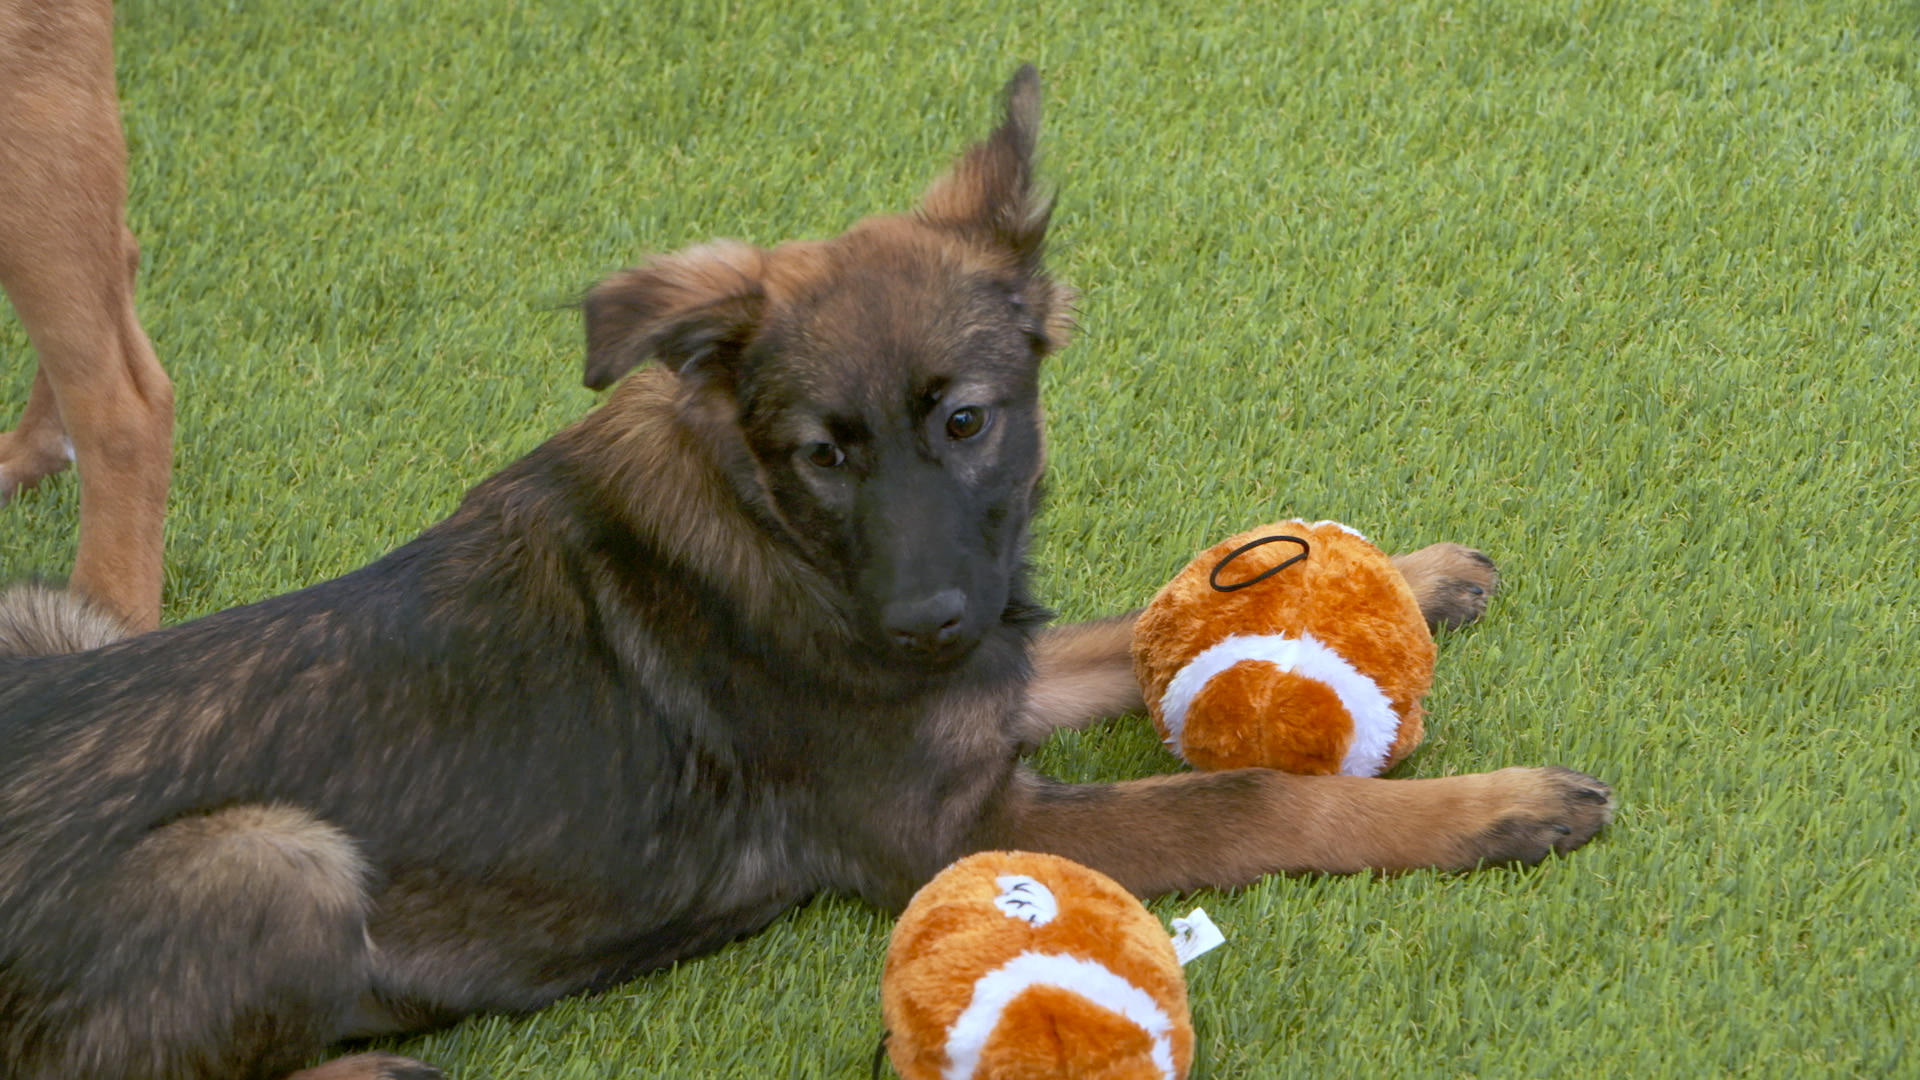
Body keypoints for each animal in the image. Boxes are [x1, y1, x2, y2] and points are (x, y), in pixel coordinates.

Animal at [0, 69, 1612, 1076]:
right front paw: (1489, 811)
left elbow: (1118, 631)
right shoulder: (965, 822)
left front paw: (1413, 575)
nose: (924, 621)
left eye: (964, 421)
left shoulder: (984, 680)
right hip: (278, 858)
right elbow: (1252, 798)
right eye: (825, 452)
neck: (771, 528)